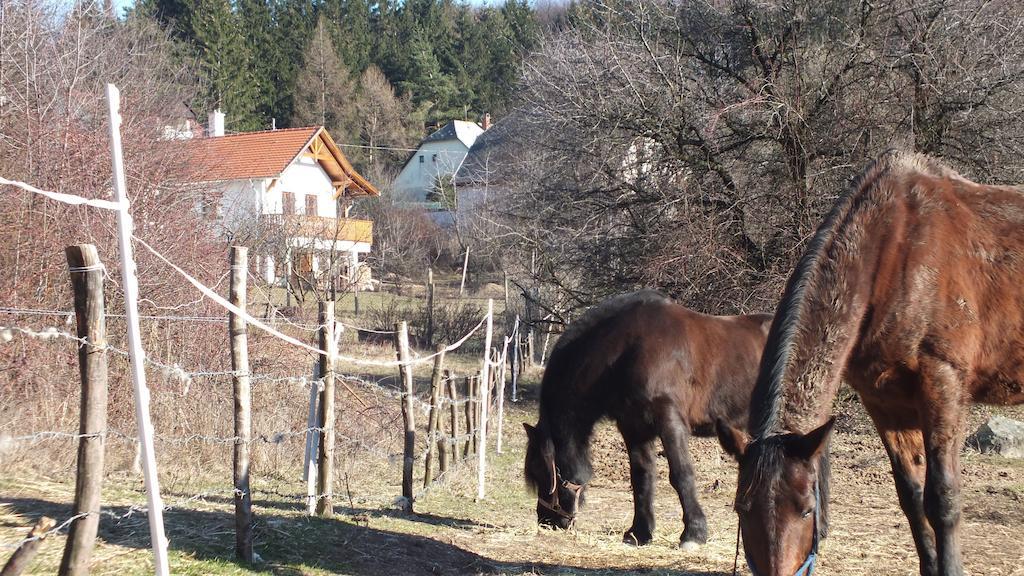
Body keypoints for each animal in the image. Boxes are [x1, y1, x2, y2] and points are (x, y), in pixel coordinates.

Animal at [524, 291, 770, 545]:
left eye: (541, 470)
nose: (547, 520)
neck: (627, 349)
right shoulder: (634, 427)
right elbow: (641, 476)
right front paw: (639, 532)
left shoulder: (669, 421)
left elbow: (681, 474)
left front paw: (694, 532)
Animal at [716, 151, 1024, 573]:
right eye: (741, 508)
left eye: (807, 510)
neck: (895, 251)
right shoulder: (885, 402)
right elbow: (912, 498)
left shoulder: (943, 384)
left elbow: (943, 498)